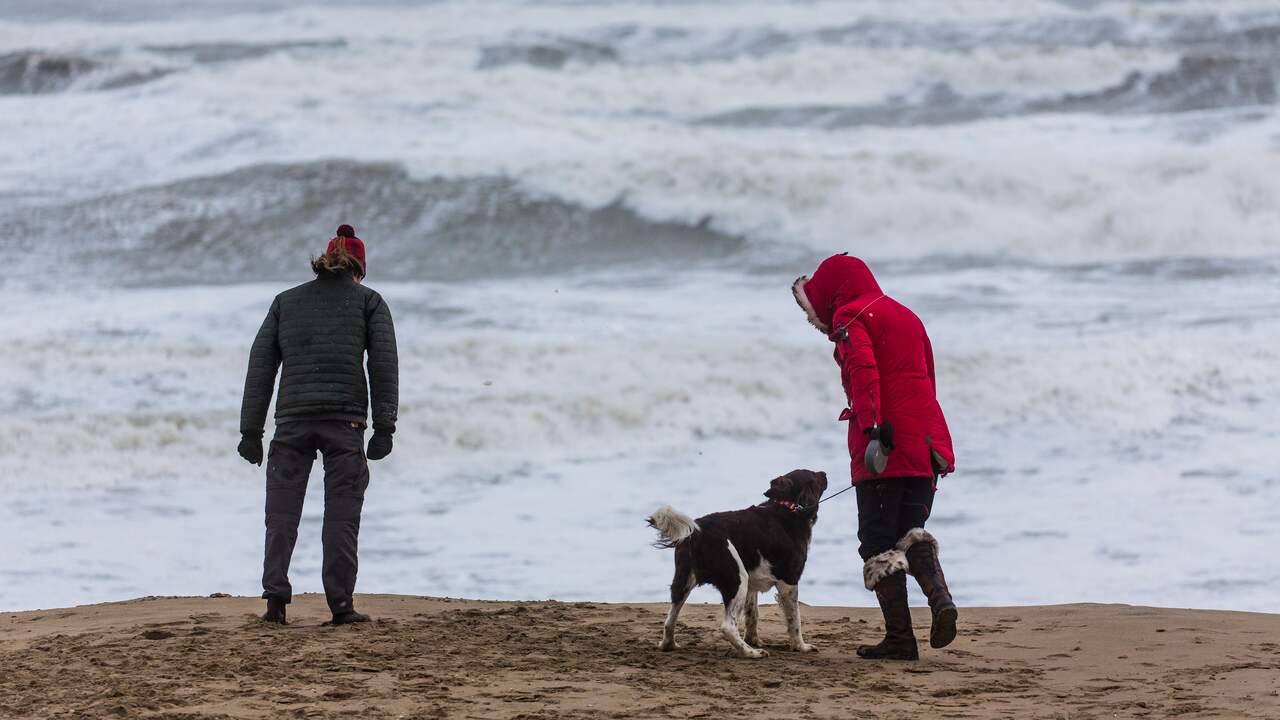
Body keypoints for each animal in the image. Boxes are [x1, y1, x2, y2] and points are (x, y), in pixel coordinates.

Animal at [645, 468, 824, 661]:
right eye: (814, 476)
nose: (825, 473)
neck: (788, 507)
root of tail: (697, 531)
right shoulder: (789, 580)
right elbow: (794, 619)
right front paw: (801, 647)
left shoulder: (754, 581)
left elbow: (752, 614)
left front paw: (754, 640)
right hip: (737, 579)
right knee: (728, 627)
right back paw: (751, 653)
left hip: (684, 581)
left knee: (669, 620)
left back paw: (669, 645)